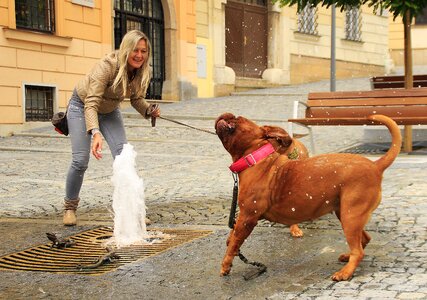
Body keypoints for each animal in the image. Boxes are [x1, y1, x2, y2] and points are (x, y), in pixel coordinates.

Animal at [216, 112, 402, 282]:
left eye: (238, 118)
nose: (226, 114)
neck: (255, 158)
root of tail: (375, 165)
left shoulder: (248, 217)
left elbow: (234, 244)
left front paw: (226, 265)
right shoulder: (244, 217)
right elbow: (233, 235)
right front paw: (228, 242)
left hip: (351, 217)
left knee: (359, 251)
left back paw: (345, 272)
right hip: (345, 214)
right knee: (365, 239)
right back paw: (347, 258)